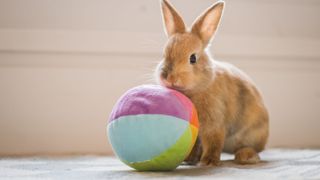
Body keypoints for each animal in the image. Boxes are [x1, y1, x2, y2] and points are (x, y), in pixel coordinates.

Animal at [155, 0, 268, 166]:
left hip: (251, 135)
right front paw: (189, 159)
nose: (168, 77)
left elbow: (213, 140)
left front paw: (208, 162)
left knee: (250, 148)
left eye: (193, 58)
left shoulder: (214, 122)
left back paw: (246, 157)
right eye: (164, 54)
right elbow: (195, 144)